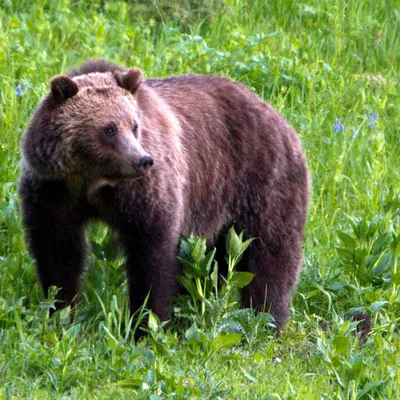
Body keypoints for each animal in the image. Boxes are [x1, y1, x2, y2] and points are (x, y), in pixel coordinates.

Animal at [18, 60, 310, 334]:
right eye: (109, 129)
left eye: (134, 126)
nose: (142, 160)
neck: (93, 182)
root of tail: (278, 116)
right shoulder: (53, 191)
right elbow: (58, 251)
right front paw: (61, 310)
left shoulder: (145, 193)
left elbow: (152, 255)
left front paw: (146, 323)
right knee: (216, 261)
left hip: (261, 181)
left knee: (270, 254)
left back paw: (266, 319)